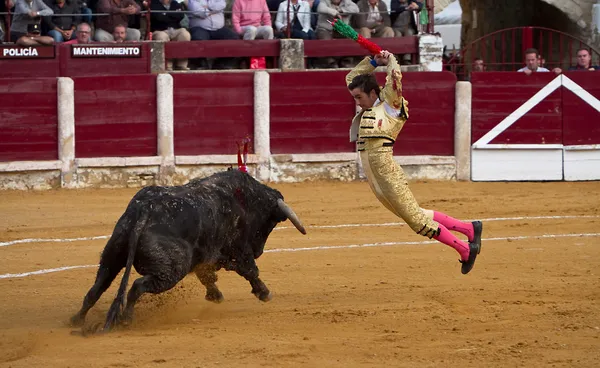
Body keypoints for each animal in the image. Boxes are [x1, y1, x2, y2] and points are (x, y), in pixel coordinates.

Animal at [69, 170, 310, 330]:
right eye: (270, 223)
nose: (259, 249)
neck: (244, 199)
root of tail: (145, 209)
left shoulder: (206, 255)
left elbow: (207, 276)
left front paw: (215, 295)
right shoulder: (238, 249)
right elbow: (250, 270)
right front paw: (264, 293)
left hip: (113, 253)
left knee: (97, 287)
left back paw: (76, 320)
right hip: (171, 271)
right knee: (137, 286)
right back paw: (127, 319)